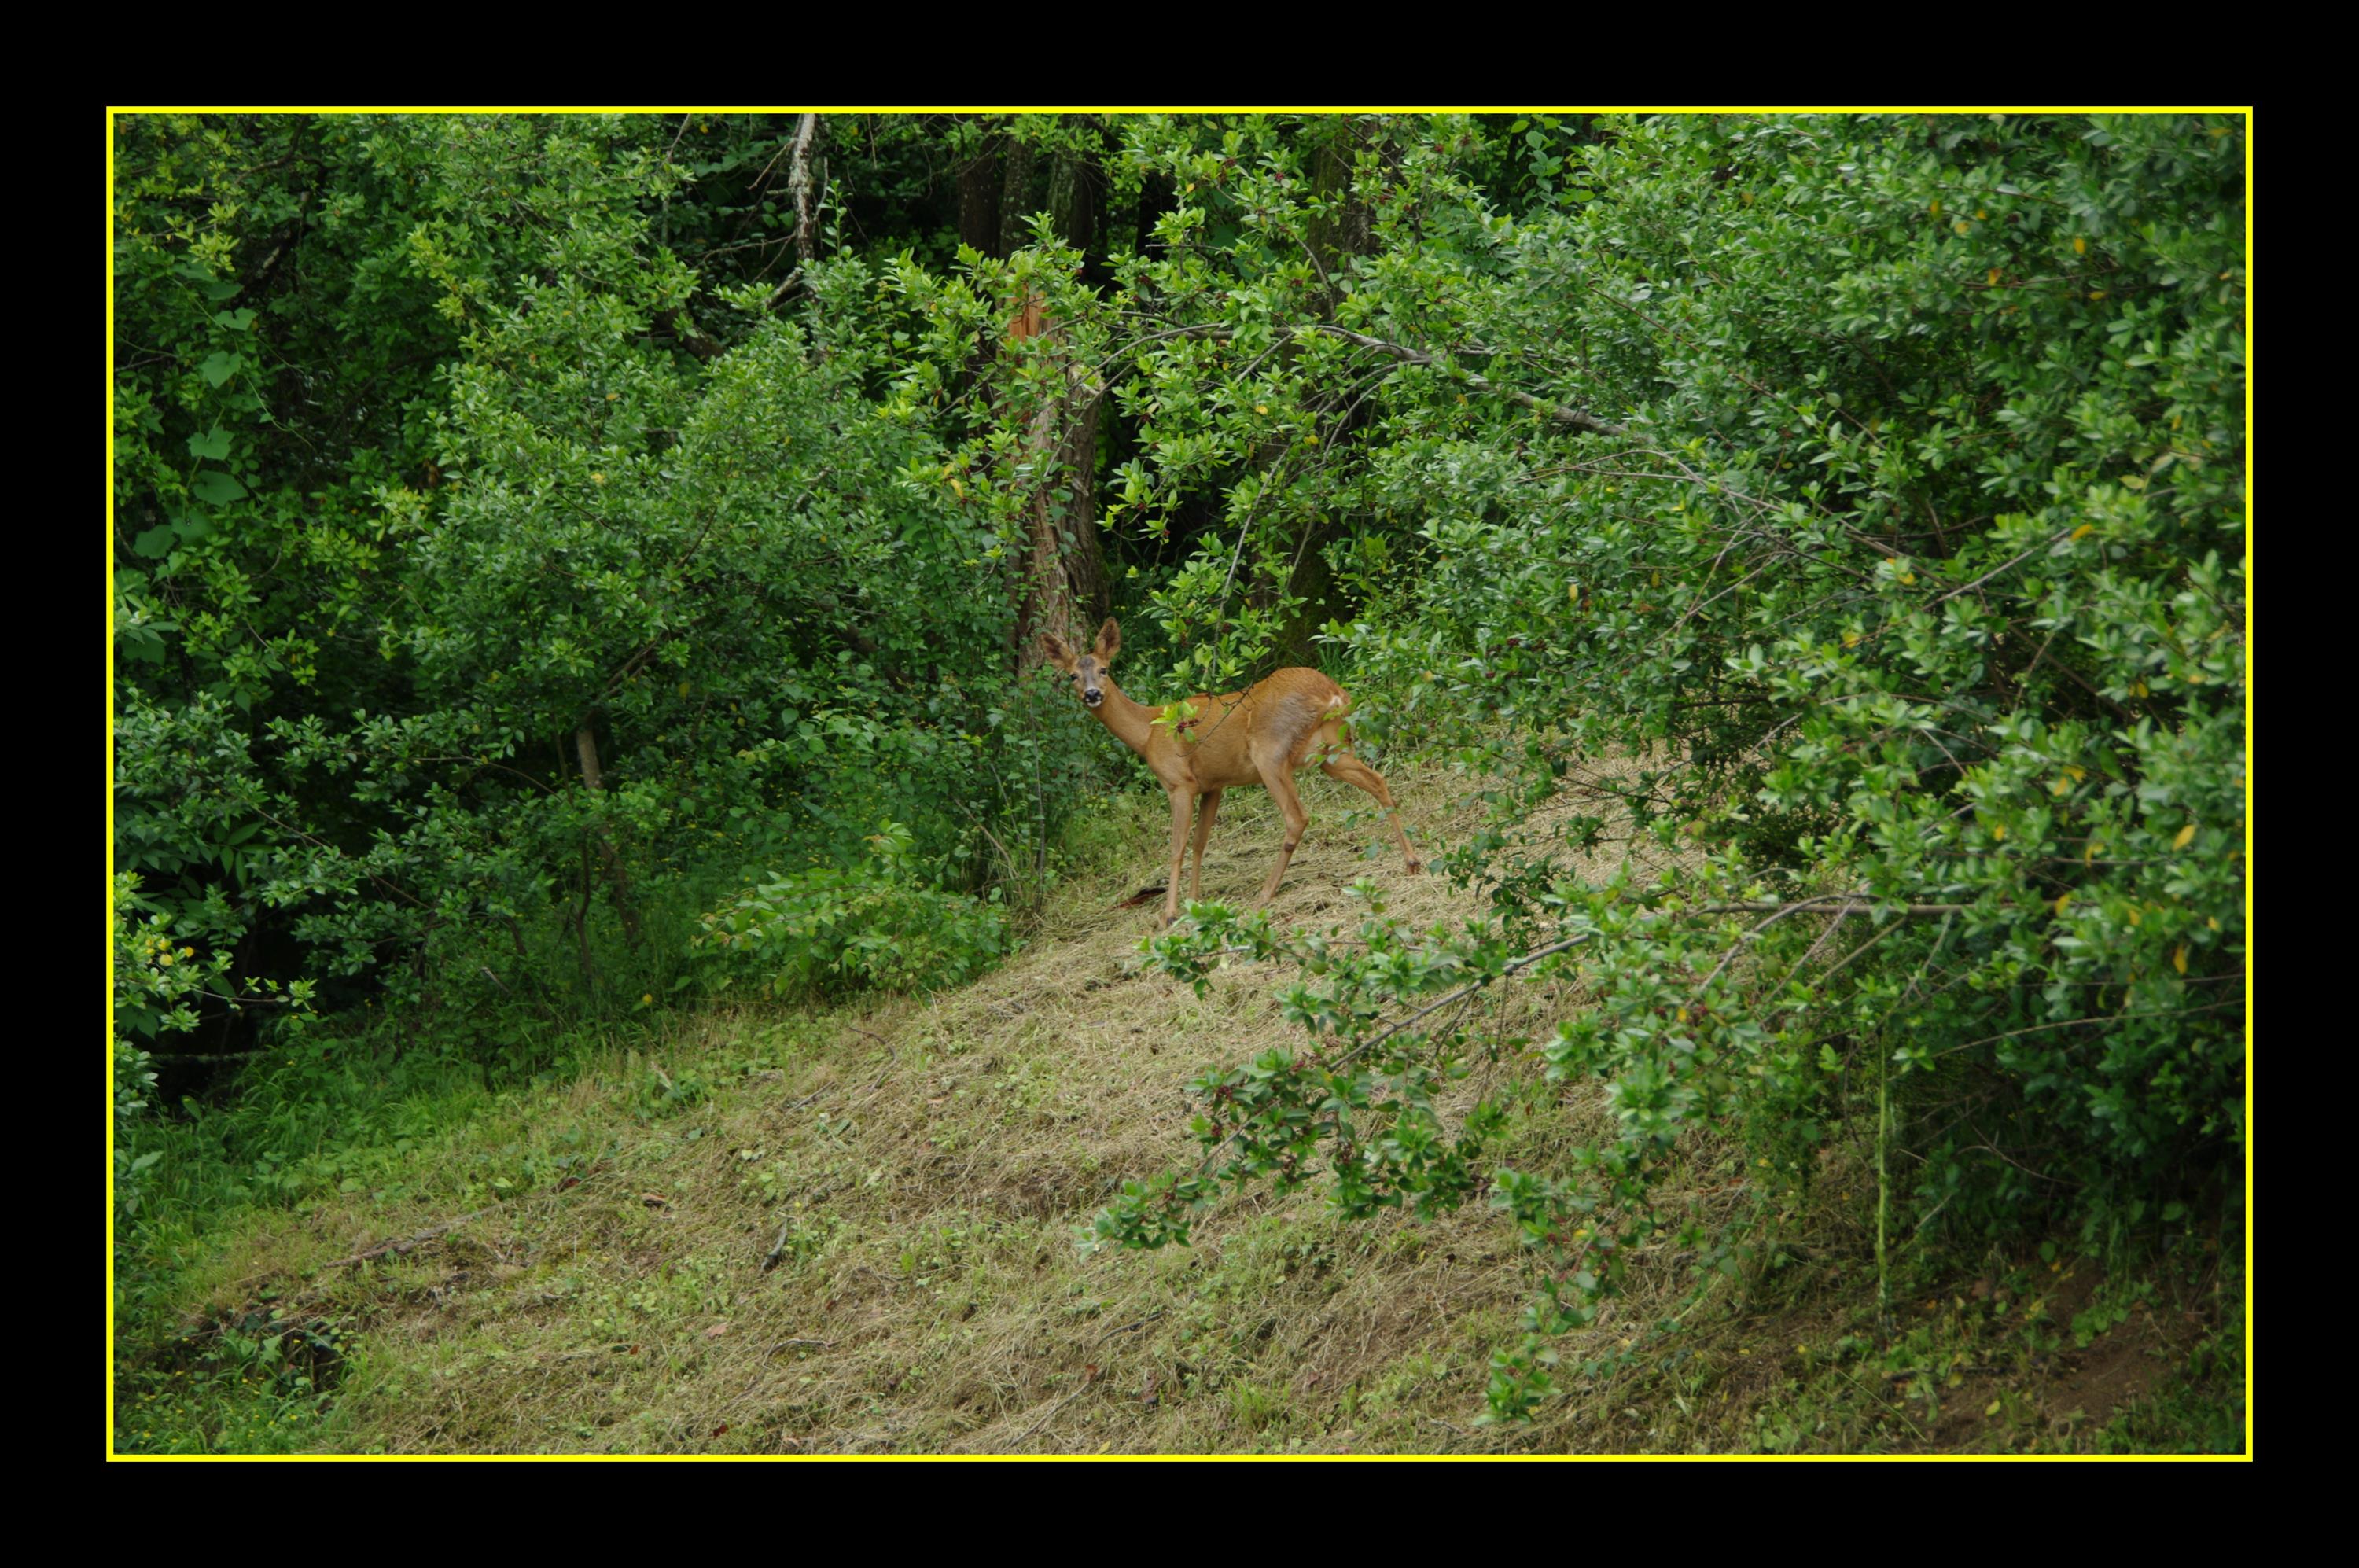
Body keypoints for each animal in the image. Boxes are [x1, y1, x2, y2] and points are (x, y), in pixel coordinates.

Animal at [1047, 613, 1415, 929]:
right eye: (1073, 675)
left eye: (1105, 669)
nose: (1092, 694)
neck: (1148, 733)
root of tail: (1334, 695)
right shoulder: (1214, 785)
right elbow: (1200, 843)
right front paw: (1194, 902)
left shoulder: (1180, 783)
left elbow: (1177, 847)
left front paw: (1169, 915)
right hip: (1333, 753)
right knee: (1377, 780)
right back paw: (1411, 861)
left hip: (1271, 753)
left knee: (1297, 817)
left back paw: (1263, 895)